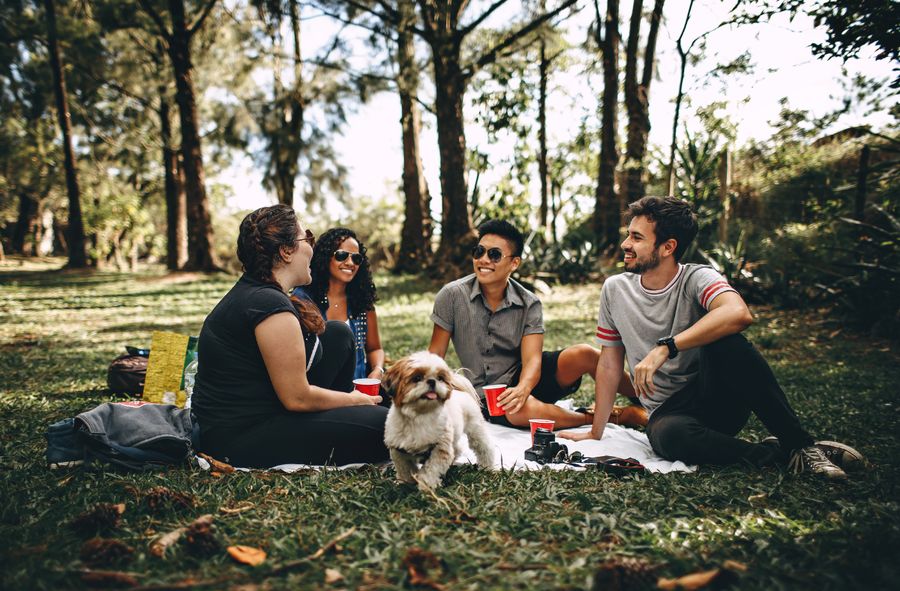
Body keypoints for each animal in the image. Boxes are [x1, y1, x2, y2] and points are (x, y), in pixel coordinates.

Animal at [384, 352, 496, 490]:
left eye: (440, 378)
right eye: (417, 378)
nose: (432, 381)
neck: (419, 415)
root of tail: (460, 391)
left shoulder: (440, 448)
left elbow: (431, 469)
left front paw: (426, 485)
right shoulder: (398, 450)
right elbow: (404, 468)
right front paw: (405, 483)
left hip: (475, 429)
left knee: (484, 448)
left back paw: (487, 466)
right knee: (457, 449)